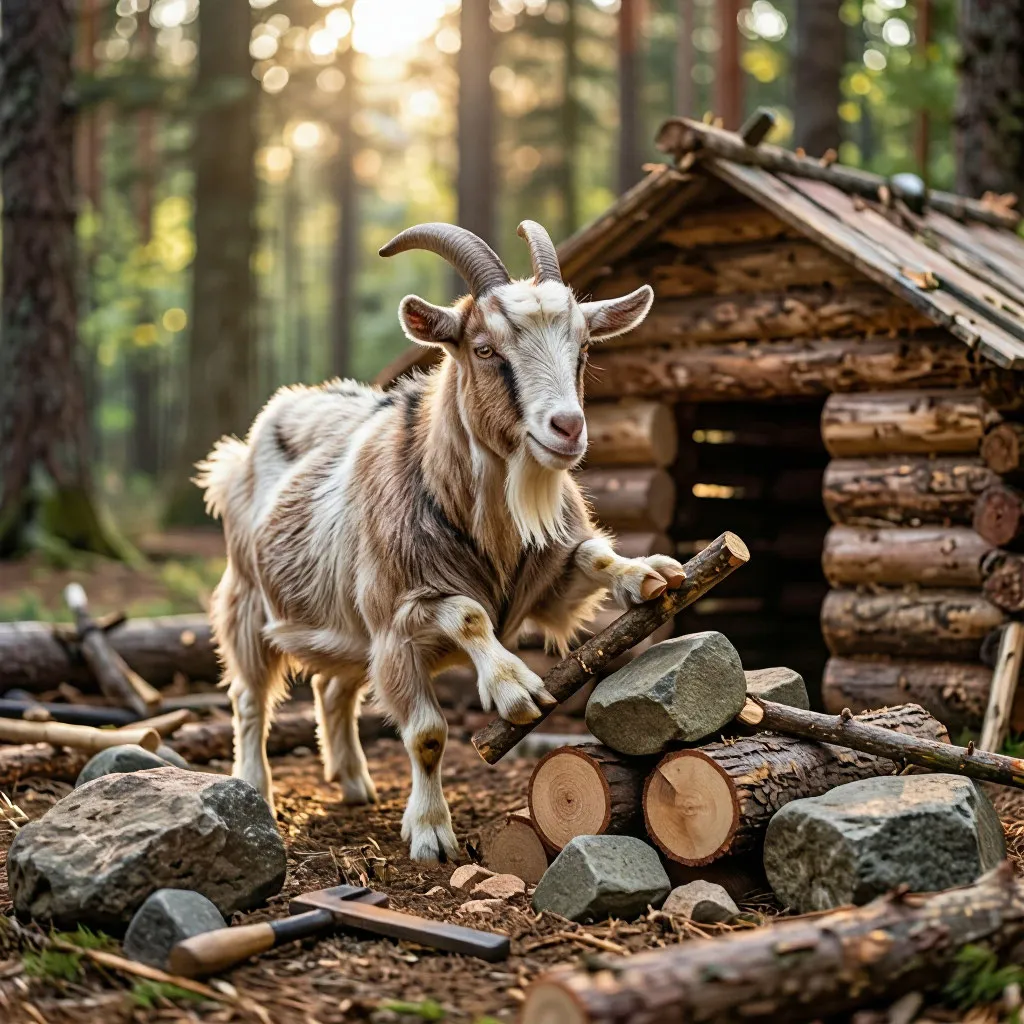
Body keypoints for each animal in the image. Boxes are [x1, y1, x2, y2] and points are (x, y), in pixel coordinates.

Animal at [197, 221, 685, 862]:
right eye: (485, 349)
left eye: (582, 349)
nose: (567, 428)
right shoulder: (396, 620)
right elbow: (439, 699)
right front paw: (435, 827)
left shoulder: (544, 584)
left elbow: (592, 556)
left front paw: (646, 573)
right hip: (249, 598)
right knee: (250, 697)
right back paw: (255, 785)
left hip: (348, 628)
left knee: (333, 687)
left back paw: (353, 783)